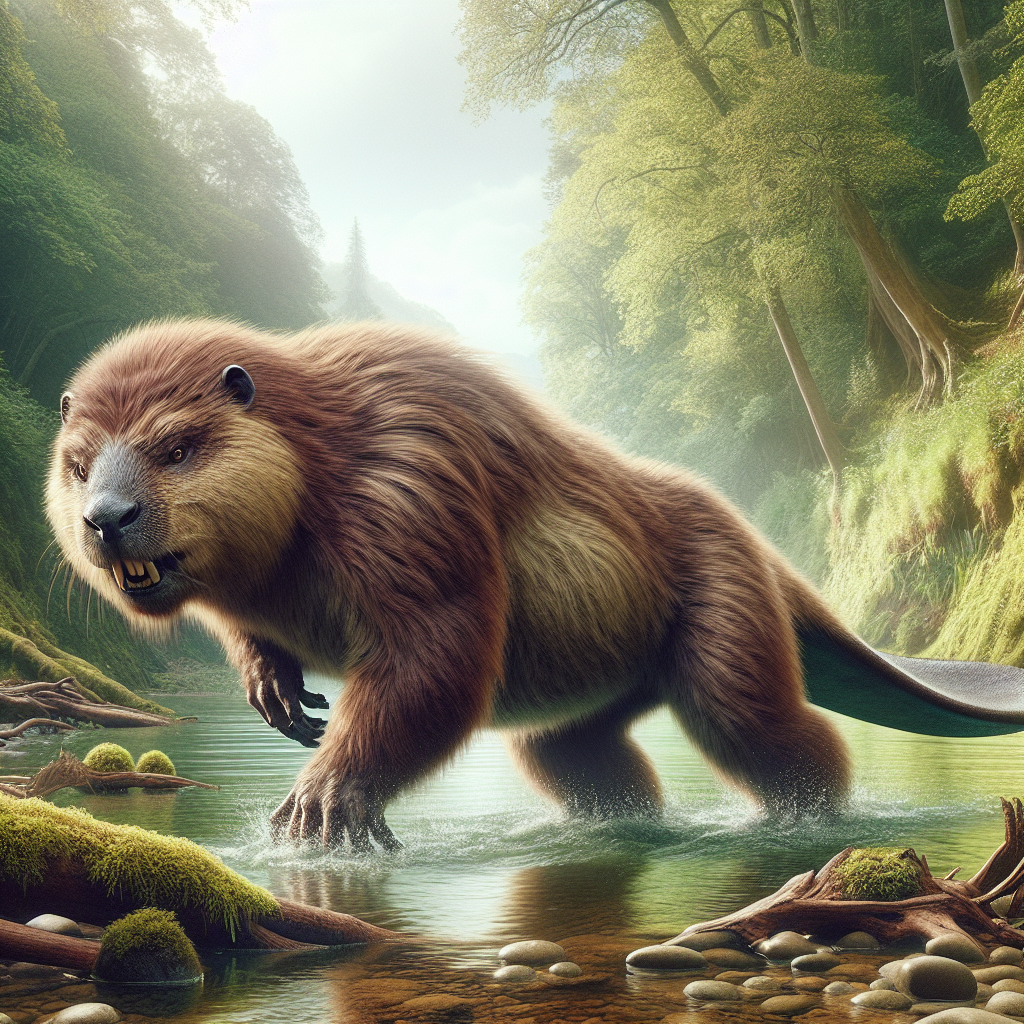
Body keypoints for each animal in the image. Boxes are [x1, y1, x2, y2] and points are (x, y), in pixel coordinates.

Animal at [48, 319, 1024, 850]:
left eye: (177, 447)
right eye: (79, 463)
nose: (105, 518)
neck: (317, 454)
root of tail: (767, 554)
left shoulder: (408, 487)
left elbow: (435, 656)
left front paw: (321, 804)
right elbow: (253, 634)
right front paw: (278, 696)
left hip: (727, 602)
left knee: (767, 725)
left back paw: (810, 824)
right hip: (583, 705)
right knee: (578, 758)